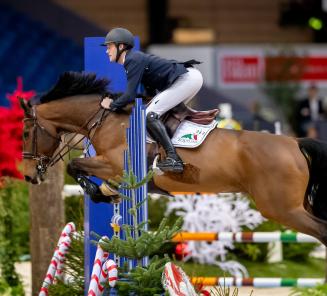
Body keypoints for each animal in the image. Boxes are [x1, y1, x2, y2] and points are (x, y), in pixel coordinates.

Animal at [22, 71, 327, 245]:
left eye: (25, 132)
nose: (29, 175)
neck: (106, 121)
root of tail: (294, 142)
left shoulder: (113, 164)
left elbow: (75, 166)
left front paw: (97, 192)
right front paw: (106, 192)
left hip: (281, 208)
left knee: (322, 232)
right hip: (295, 206)